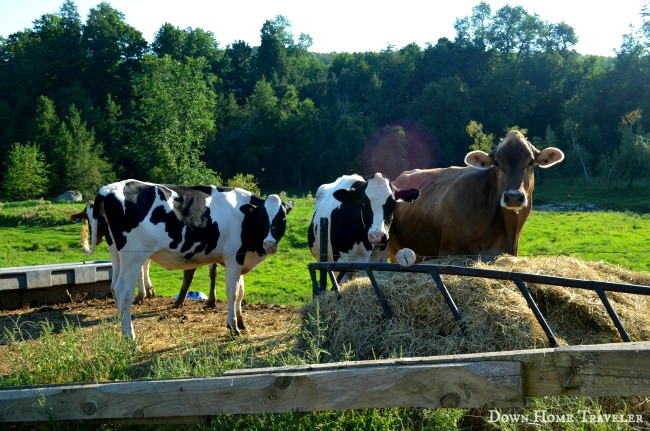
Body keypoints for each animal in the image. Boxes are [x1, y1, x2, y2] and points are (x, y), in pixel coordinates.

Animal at [78, 180, 294, 340]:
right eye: (262, 218)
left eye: (282, 219)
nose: (269, 244)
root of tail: (106, 190)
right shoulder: (233, 257)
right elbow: (232, 294)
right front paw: (233, 328)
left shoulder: (241, 258)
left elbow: (240, 292)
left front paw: (242, 323)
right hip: (133, 256)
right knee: (123, 290)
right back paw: (130, 336)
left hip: (115, 252)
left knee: (114, 287)